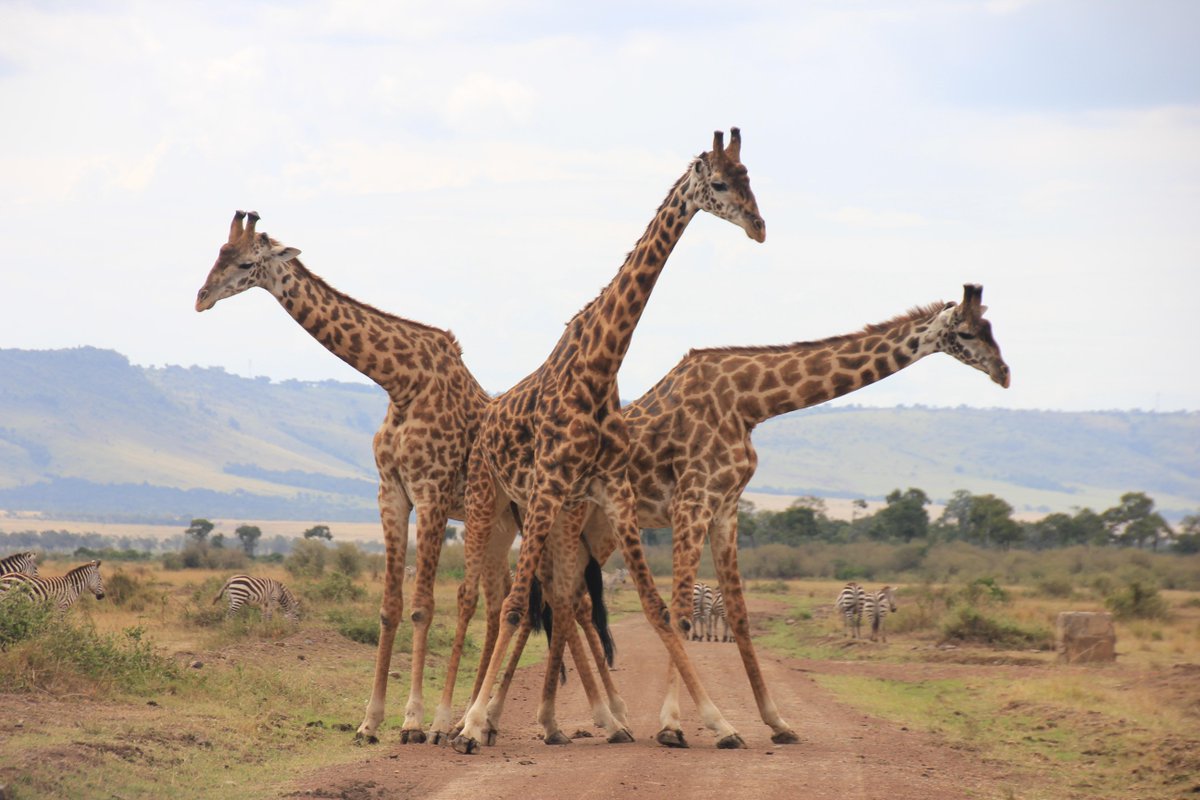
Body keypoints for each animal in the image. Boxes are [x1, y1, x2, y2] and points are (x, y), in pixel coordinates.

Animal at [194, 212, 519, 744]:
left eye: (243, 262)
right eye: (217, 253)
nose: (201, 297)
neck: (401, 382)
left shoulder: (430, 492)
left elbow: (423, 605)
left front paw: (413, 721)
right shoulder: (391, 493)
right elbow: (389, 607)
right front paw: (370, 721)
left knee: (509, 600)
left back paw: (465, 722)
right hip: (497, 525)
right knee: (499, 603)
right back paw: (476, 722)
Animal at [449, 128, 766, 754]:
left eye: (751, 179)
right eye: (720, 183)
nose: (759, 226)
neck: (599, 367)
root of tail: (486, 424)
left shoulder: (611, 490)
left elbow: (658, 608)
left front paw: (717, 723)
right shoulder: (550, 486)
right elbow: (519, 608)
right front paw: (472, 726)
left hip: (539, 513)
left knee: (553, 598)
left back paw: (537, 720)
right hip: (493, 501)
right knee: (488, 599)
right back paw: (452, 721)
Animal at [481, 283, 1009, 746]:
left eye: (991, 327)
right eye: (966, 333)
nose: (1004, 373)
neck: (750, 402)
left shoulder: (726, 508)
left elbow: (738, 615)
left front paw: (777, 722)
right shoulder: (692, 502)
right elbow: (681, 614)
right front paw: (676, 725)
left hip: (591, 533)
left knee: (563, 602)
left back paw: (551, 720)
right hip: (565, 519)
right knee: (553, 602)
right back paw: (520, 720)